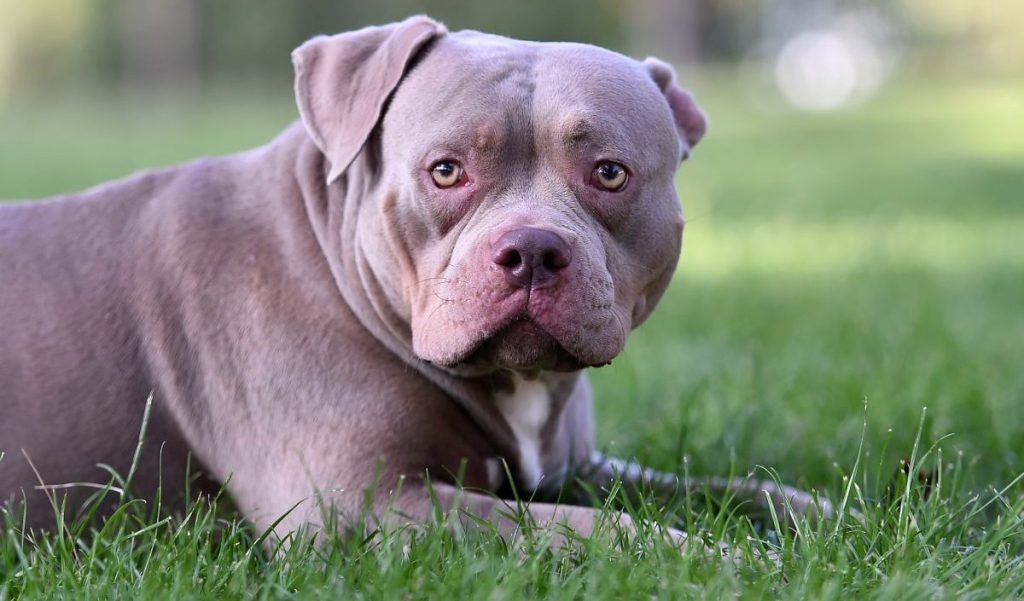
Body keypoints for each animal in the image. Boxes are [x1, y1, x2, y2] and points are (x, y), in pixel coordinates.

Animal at [0, 16, 827, 544]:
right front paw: (717, 555)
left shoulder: (579, 466)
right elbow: (600, 529)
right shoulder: (358, 504)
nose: (532, 249)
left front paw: (822, 513)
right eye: (446, 170)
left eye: (610, 173)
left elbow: (726, 485)